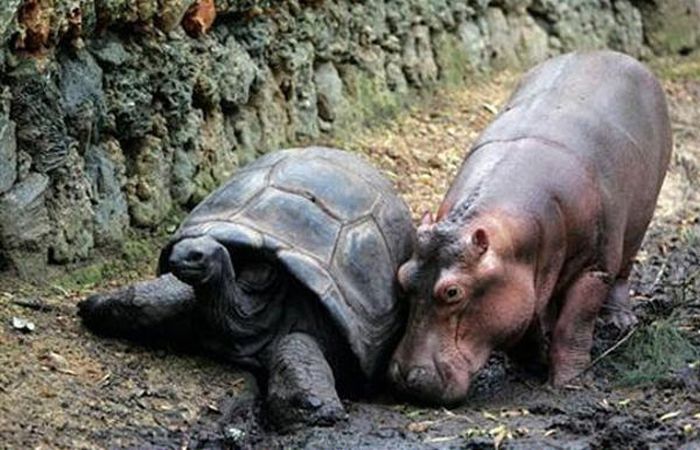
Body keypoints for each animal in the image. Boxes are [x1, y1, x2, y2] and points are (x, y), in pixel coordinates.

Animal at [388, 51, 672, 406]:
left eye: (452, 292)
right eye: (402, 276)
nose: (405, 377)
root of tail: (610, 53)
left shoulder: (594, 269)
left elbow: (573, 326)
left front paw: (568, 383)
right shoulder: (521, 278)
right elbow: (524, 324)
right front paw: (533, 365)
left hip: (639, 219)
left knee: (624, 269)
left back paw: (620, 321)